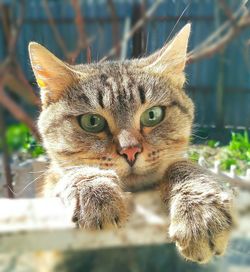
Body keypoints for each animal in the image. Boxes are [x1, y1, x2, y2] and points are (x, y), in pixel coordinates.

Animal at [28, 25, 234, 264]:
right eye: (92, 122)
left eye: (152, 115)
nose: (130, 151)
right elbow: (74, 170)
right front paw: (93, 189)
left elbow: (183, 166)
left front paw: (200, 210)